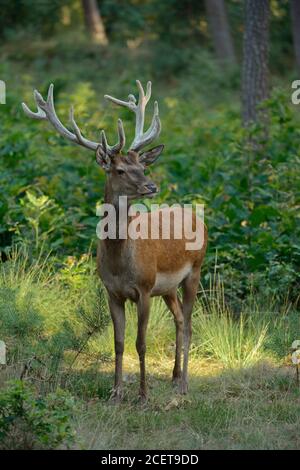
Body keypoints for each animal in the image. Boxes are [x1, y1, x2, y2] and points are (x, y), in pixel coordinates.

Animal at [22, 81, 206, 400]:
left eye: (142, 168)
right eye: (120, 169)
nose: (151, 186)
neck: (121, 263)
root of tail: (198, 216)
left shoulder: (144, 288)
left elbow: (140, 343)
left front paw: (143, 394)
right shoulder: (111, 291)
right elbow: (118, 342)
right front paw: (116, 391)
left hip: (195, 270)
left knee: (190, 324)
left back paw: (184, 383)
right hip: (168, 287)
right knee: (180, 320)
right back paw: (173, 377)